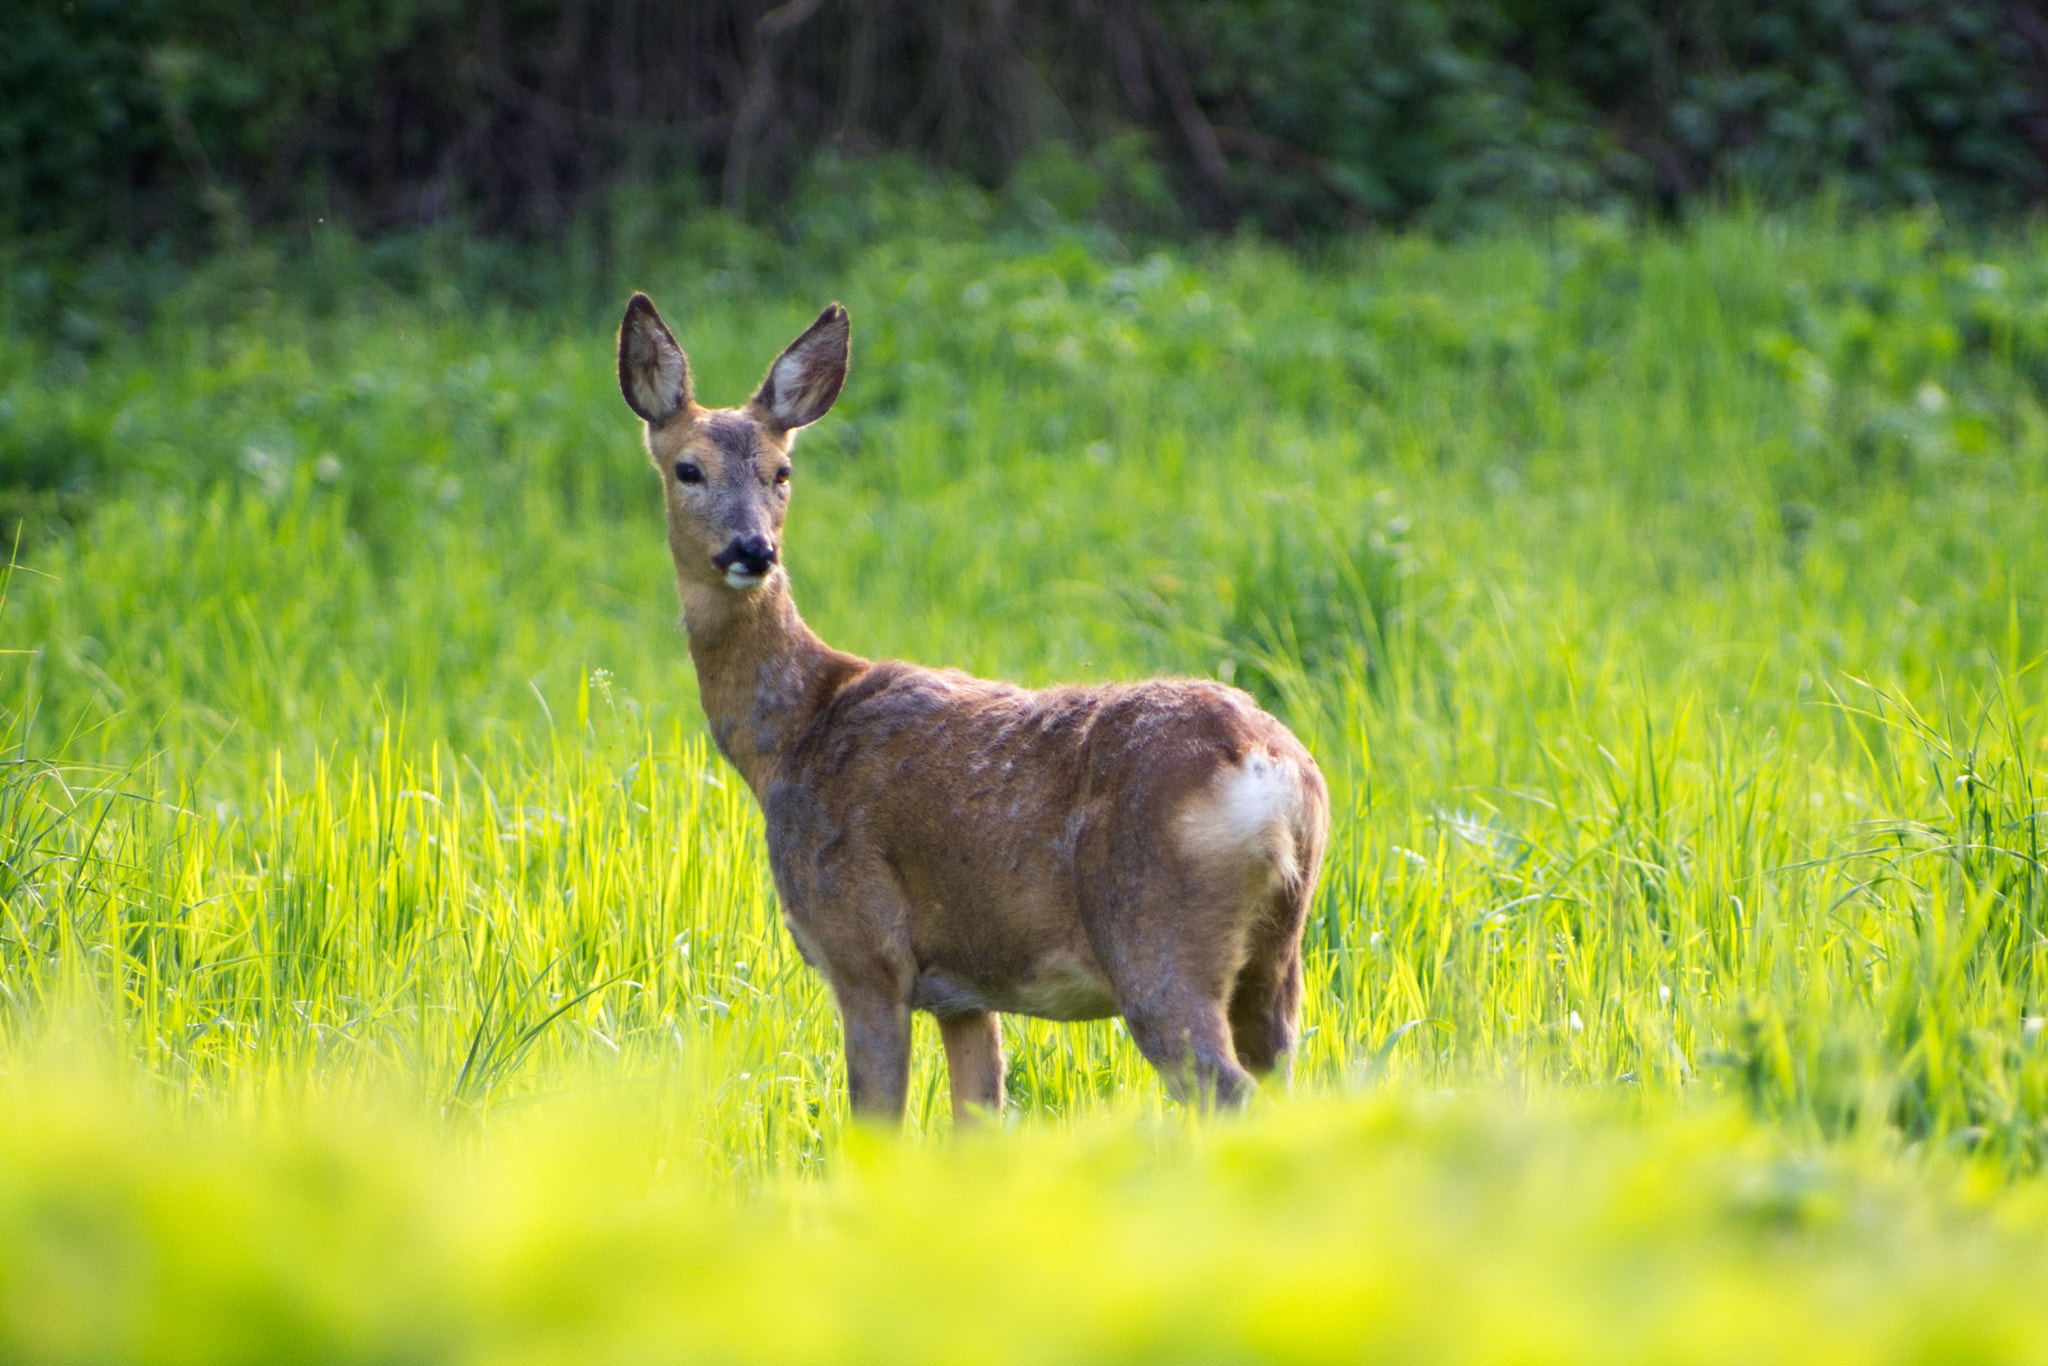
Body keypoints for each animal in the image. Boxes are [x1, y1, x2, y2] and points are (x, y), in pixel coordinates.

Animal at [618, 296, 1327, 1122]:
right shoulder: (964, 991)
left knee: (1227, 1091)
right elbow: (978, 1118)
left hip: (1157, 935)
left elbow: (876, 1126)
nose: (752, 550)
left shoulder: (864, 951)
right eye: (688, 468)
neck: (794, 734)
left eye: (781, 470)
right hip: (1276, 958)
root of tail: (1270, 770)